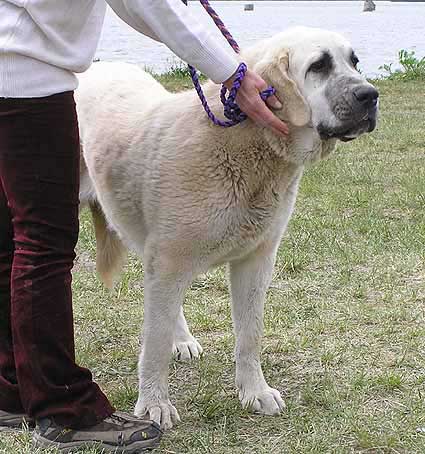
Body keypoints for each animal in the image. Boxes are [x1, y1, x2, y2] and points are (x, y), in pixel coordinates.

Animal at [75, 25, 378, 430]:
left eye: (354, 62)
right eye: (319, 66)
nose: (371, 95)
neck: (248, 146)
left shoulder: (255, 261)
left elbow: (250, 334)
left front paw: (254, 391)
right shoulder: (170, 264)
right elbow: (154, 342)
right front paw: (154, 404)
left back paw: (182, 339)